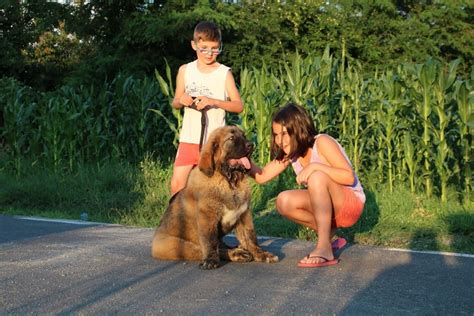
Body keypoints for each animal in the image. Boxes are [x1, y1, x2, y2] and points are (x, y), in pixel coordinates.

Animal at [151, 126, 278, 270]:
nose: (251, 145)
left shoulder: (244, 214)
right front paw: (211, 260)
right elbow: (210, 241)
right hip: (179, 246)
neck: (229, 181)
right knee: (206, 249)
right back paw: (237, 253)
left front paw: (262, 254)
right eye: (231, 138)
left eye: (244, 136)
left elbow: (251, 236)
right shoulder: (208, 216)